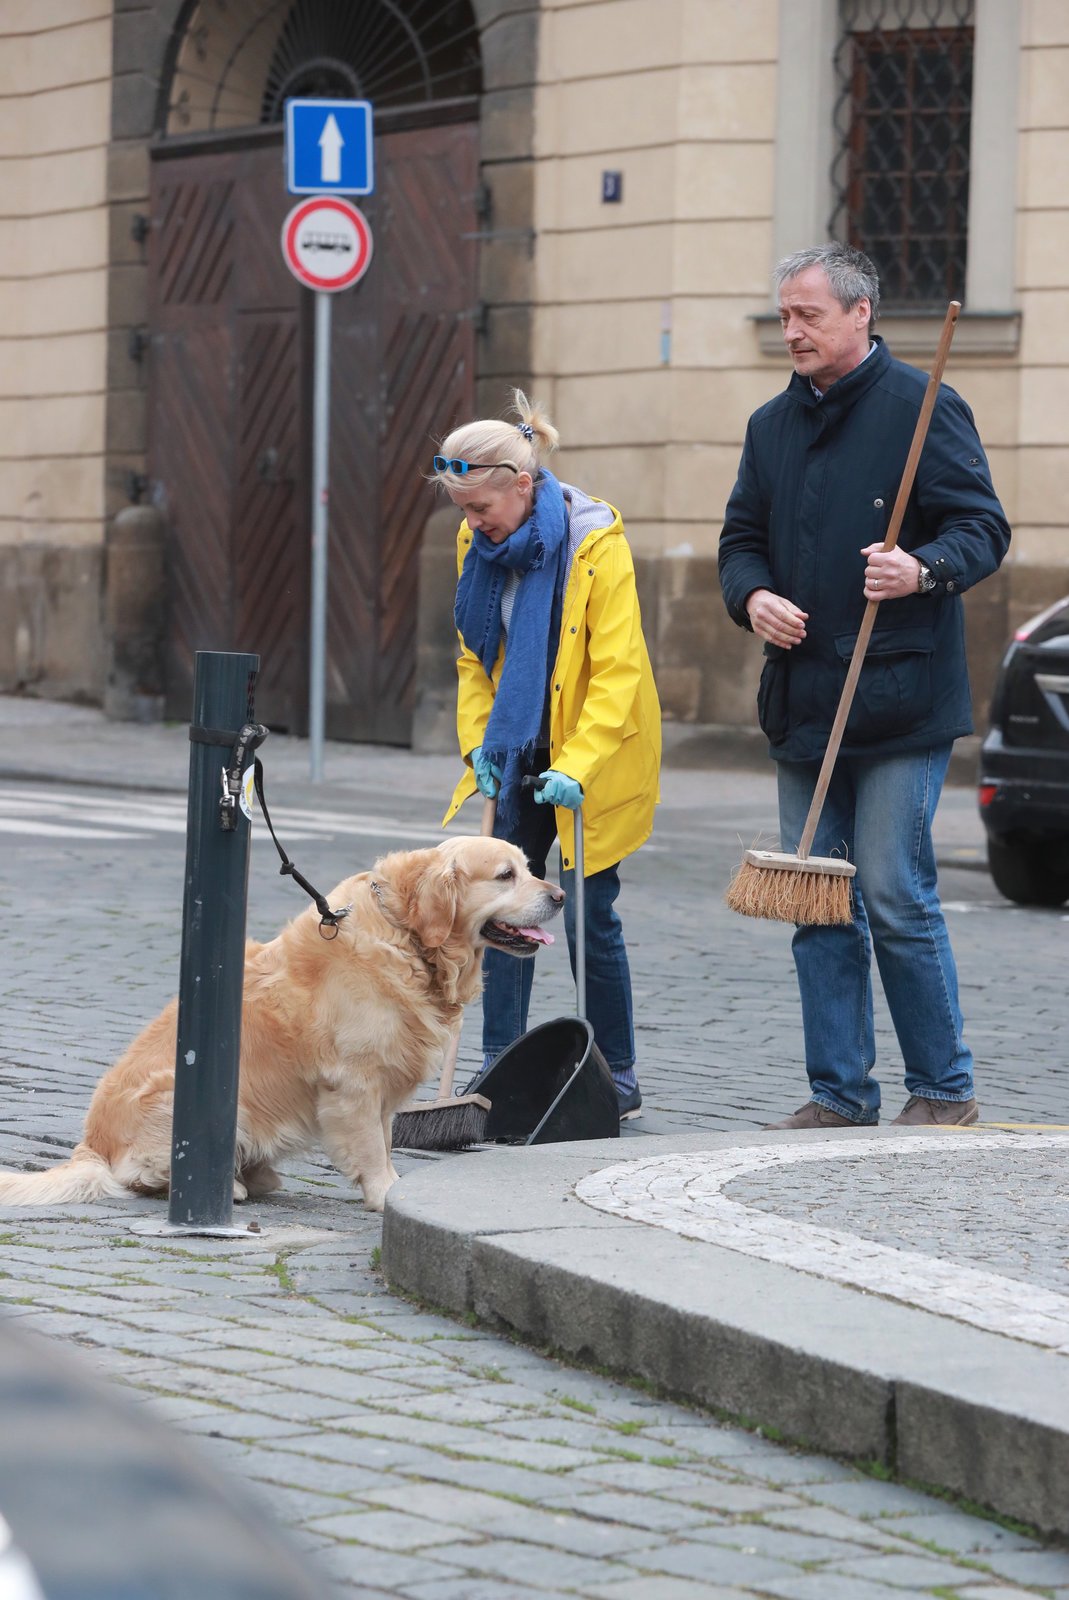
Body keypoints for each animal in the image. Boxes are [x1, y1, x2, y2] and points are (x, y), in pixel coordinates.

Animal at [0, 838, 566, 1209]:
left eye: (529, 868)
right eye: (505, 875)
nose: (560, 896)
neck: (405, 937)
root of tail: (92, 1147)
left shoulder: (382, 1086)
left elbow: (385, 1139)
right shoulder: (354, 1083)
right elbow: (371, 1147)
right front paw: (384, 1194)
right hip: (188, 1096)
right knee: (144, 1175)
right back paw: (226, 1186)